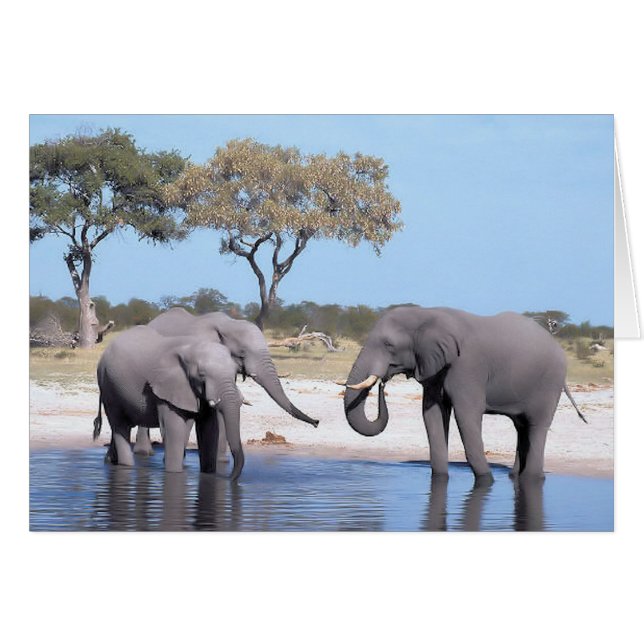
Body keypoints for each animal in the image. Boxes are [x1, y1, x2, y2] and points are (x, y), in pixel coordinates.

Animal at [93, 325, 245, 479]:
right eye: (201, 375)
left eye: (235, 373)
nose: (230, 478)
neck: (190, 348)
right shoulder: (166, 388)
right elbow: (174, 429)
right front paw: (174, 473)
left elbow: (209, 429)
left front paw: (208, 474)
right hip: (109, 387)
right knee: (120, 426)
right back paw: (125, 466)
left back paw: (110, 461)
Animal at [343, 306, 587, 480]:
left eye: (389, 345)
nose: (383, 383)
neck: (427, 314)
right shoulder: (434, 369)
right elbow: (432, 415)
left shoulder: (468, 367)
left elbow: (467, 416)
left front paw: (487, 481)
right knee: (522, 427)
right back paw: (514, 476)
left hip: (549, 382)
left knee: (537, 427)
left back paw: (532, 478)